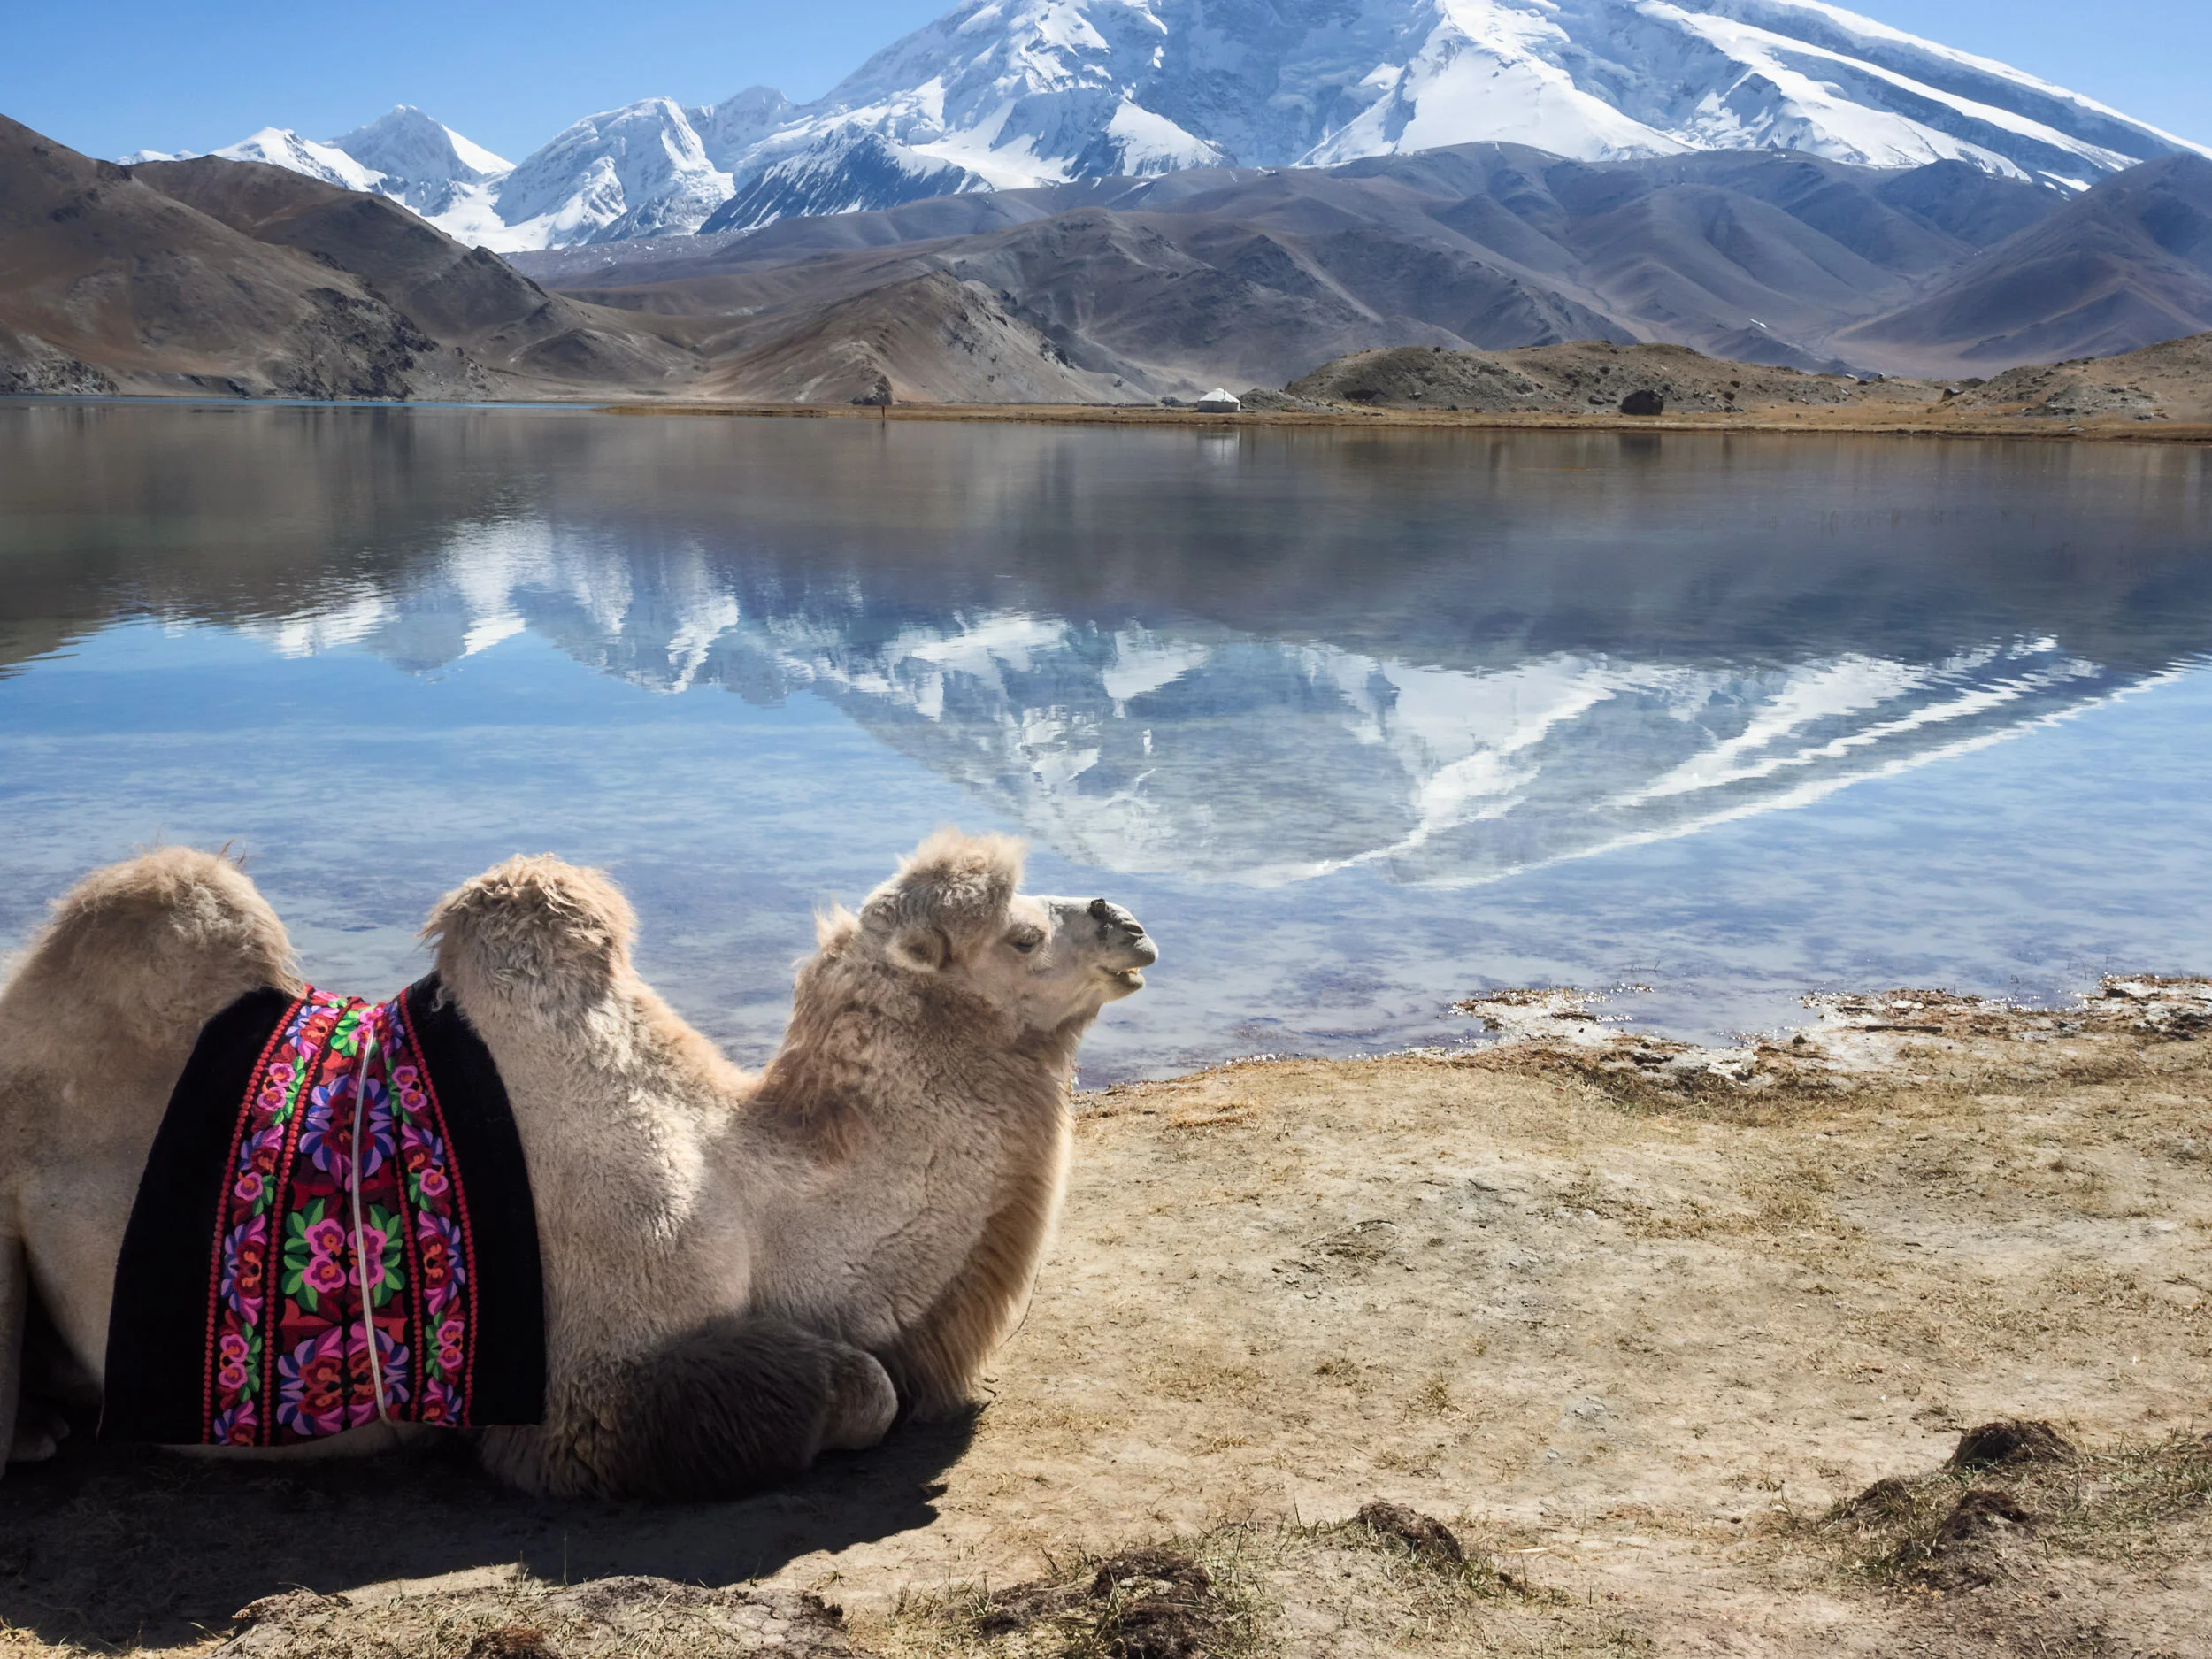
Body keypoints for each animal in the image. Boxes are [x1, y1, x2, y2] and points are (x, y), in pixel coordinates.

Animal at [0, 830, 1155, 1497]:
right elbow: (862, 1390)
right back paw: (40, 1436)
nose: (1128, 921)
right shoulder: (584, 1391)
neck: (750, 1201)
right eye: (1016, 937)